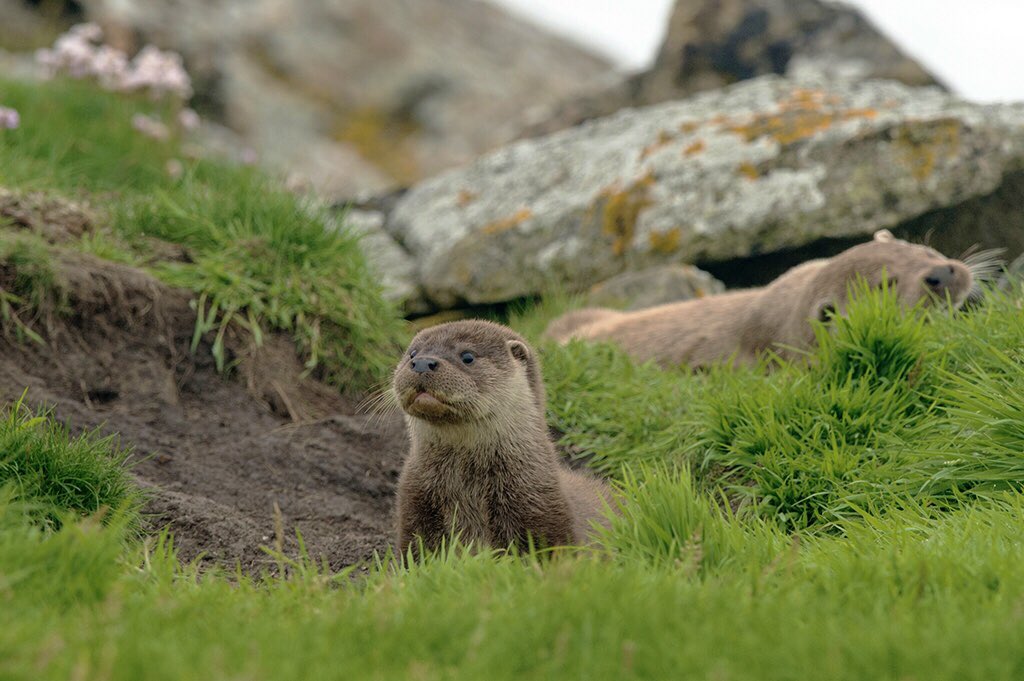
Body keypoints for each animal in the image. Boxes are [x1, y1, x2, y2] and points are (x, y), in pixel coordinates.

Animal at [393, 319, 612, 557]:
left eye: (467, 356)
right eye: (412, 353)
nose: (422, 363)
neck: (466, 487)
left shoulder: (539, 506)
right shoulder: (415, 502)